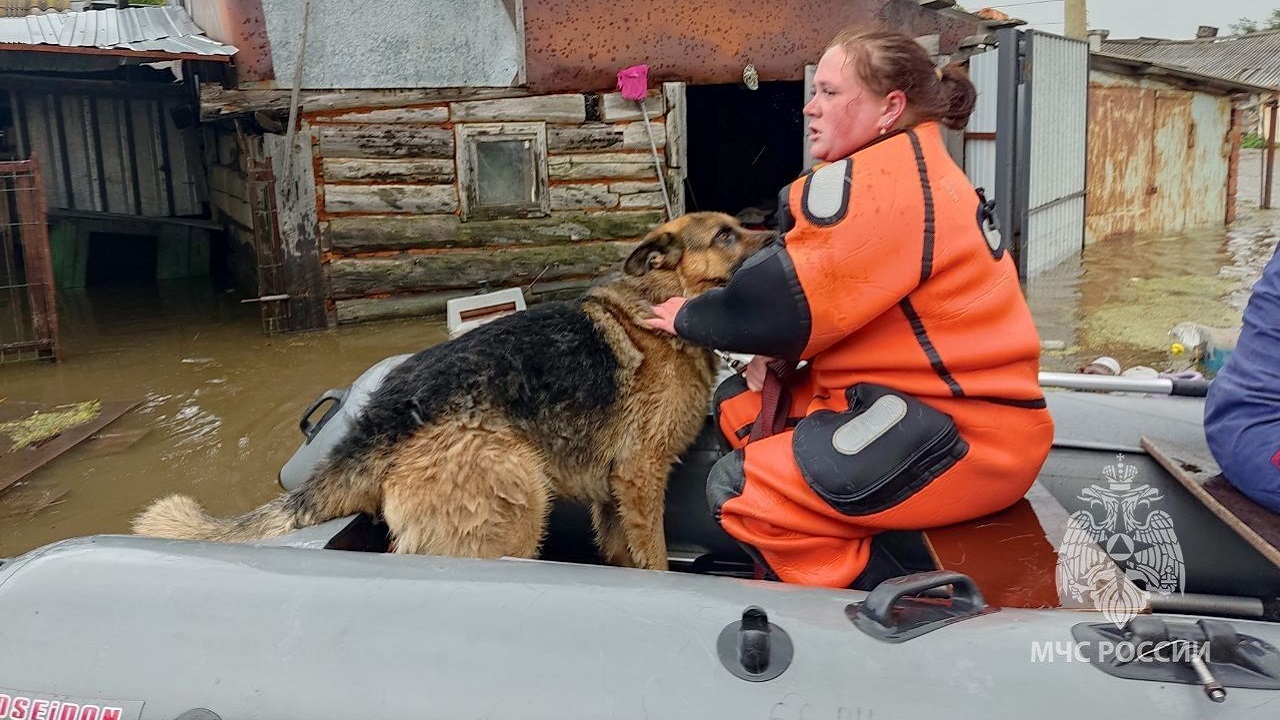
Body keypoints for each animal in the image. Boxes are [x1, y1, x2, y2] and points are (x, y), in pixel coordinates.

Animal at [132, 210, 768, 568]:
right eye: (726, 235)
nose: (779, 236)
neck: (660, 301)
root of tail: (379, 424)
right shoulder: (639, 479)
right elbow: (655, 560)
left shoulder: (612, 496)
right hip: (518, 493)